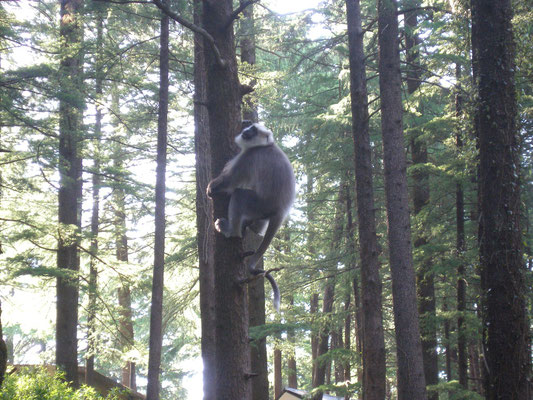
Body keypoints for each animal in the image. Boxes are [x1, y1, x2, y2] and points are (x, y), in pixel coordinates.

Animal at [206, 123, 296, 310]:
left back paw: (231, 231)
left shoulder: (248, 157)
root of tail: (281, 210)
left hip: (258, 204)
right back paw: (252, 226)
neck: (266, 146)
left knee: (240, 195)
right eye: (250, 127)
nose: (246, 131)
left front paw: (212, 187)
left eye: (253, 131)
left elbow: (229, 182)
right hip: (262, 211)